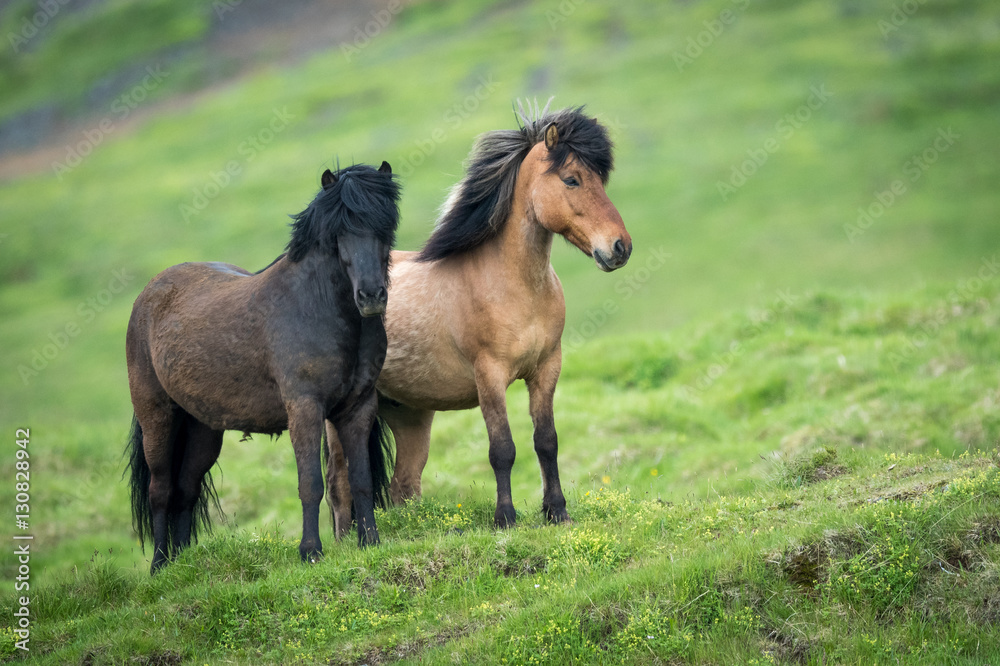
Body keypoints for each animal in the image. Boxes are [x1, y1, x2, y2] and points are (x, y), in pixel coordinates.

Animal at [125, 161, 401, 573]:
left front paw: (370, 542)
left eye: (385, 223)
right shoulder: (304, 408)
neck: (316, 307)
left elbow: (361, 479)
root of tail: (149, 293)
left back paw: (184, 563)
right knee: (161, 490)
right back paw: (160, 566)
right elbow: (310, 483)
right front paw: (310, 552)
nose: (371, 296)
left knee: (185, 489)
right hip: (158, 418)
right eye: (340, 231)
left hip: (203, 429)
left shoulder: (358, 407)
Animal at [325, 103, 631, 534]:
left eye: (600, 180)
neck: (514, 286)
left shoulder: (546, 369)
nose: (620, 247)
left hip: (409, 414)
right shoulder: (490, 375)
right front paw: (505, 518)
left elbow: (546, 441)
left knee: (404, 484)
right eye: (572, 179)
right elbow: (502, 448)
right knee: (338, 484)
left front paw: (557, 511)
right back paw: (343, 542)